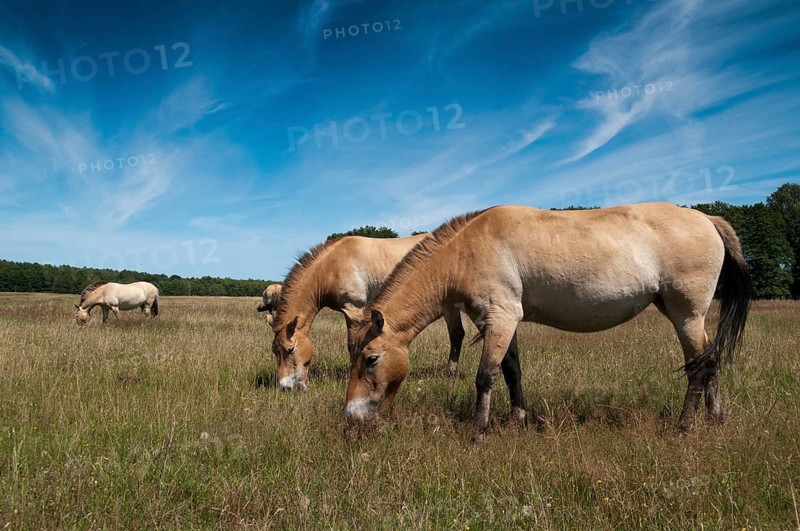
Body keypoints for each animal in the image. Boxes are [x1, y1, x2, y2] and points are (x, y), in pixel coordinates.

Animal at [271, 234, 468, 390]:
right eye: (275, 351)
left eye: (290, 349)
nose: (284, 386)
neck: (331, 267)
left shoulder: (354, 310)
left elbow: (353, 345)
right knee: (457, 334)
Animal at [346, 203, 751, 437]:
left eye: (371, 359)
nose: (351, 416)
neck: (463, 253)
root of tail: (708, 218)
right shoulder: (502, 322)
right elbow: (512, 371)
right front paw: (517, 421)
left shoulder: (501, 317)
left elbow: (485, 376)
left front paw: (479, 430)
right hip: (682, 314)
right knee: (710, 361)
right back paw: (715, 420)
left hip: (687, 315)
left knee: (698, 367)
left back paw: (684, 426)